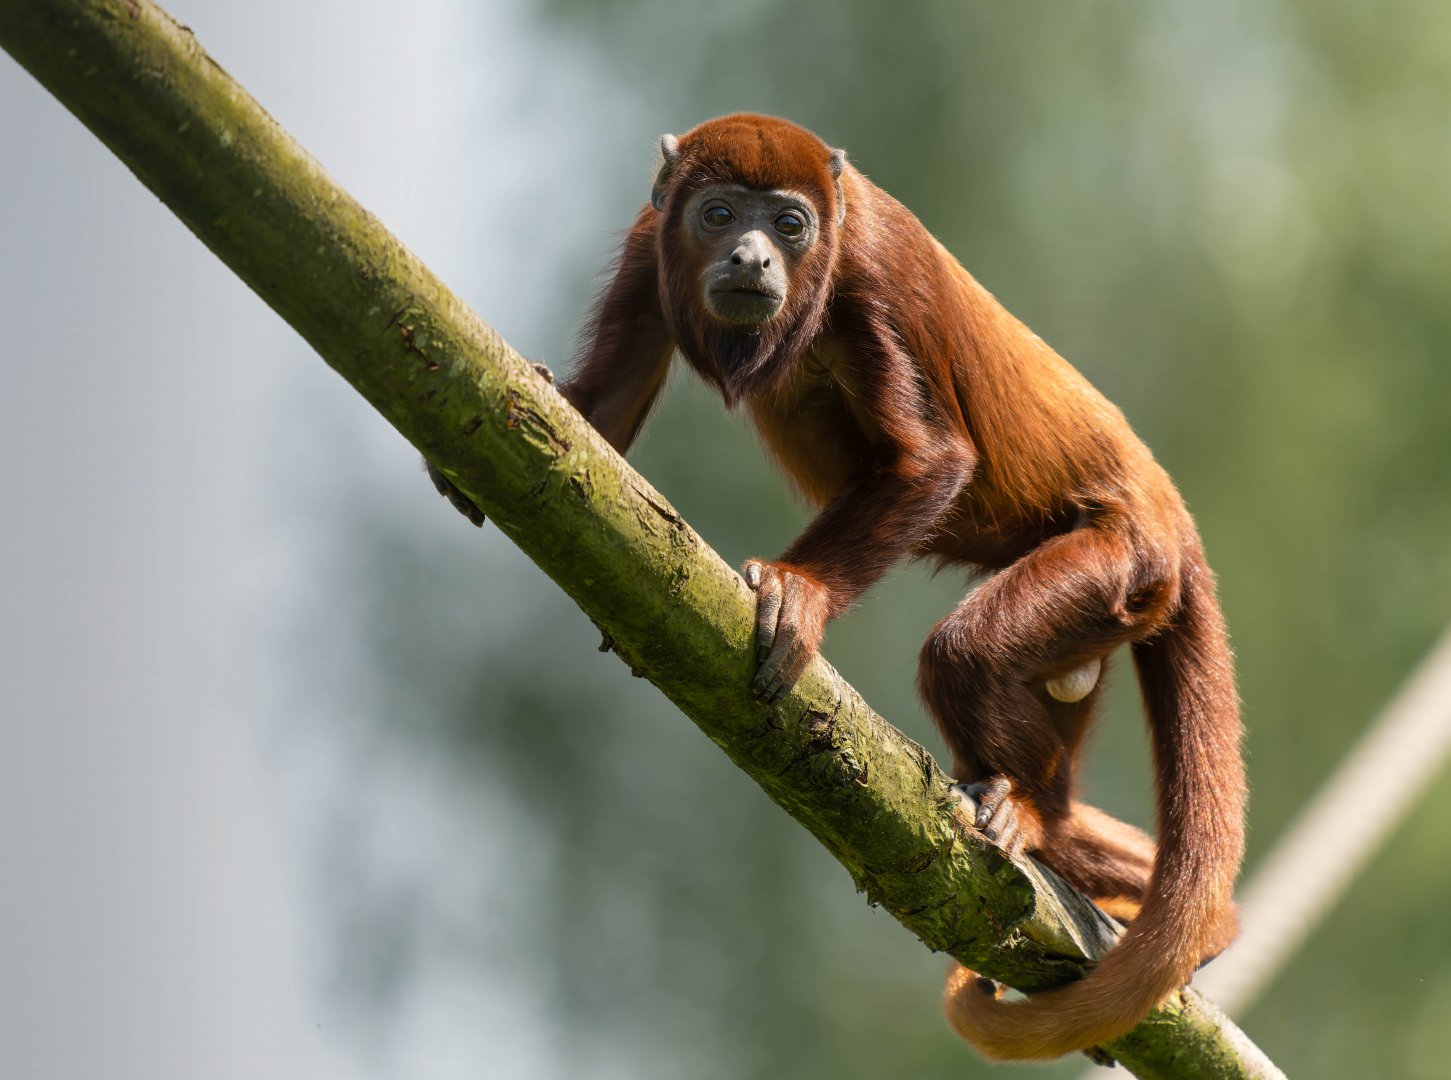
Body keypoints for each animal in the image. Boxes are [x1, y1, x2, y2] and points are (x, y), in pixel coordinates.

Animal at [427, 113, 1245, 1062]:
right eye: (716, 213)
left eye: (790, 225)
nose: (750, 257)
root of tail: (1168, 512)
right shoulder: (646, 240)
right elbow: (604, 411)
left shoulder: (871, 279)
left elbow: (933, 460)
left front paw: (800, 591)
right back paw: (1180, 900)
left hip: (1120, 556)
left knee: (962, 655)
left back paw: (1036, 816)